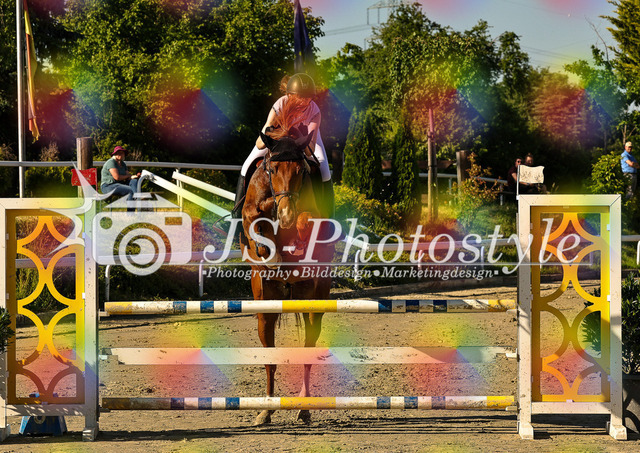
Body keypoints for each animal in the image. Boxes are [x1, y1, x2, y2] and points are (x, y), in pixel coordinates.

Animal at [240, 128, 336, 426]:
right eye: (271, 169)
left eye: (302, 171)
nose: (285, 215)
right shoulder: (253, 209)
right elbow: (255, 218)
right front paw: (268, 251)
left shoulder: (307, 214)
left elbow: (306, 221)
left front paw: (295, 243)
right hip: (265, 306)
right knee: (269, 357)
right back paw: (266, 410)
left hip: (315, 299)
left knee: (308, 348)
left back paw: (303, 408)